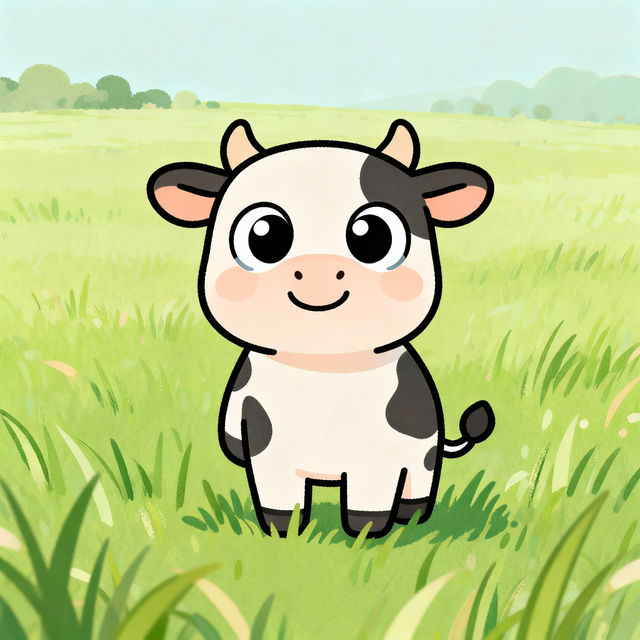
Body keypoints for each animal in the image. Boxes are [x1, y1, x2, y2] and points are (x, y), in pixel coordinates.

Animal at [147, 119, 495, 538]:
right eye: (263, 235)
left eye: (373, 235)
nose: (318, 273)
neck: (324, 365)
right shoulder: (268, 449)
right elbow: (276, 495)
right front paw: (283, 531)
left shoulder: (376, 457)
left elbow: (371, 498)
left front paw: (366, 532)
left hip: (422, 454)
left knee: (418, 483)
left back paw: (409, 518)